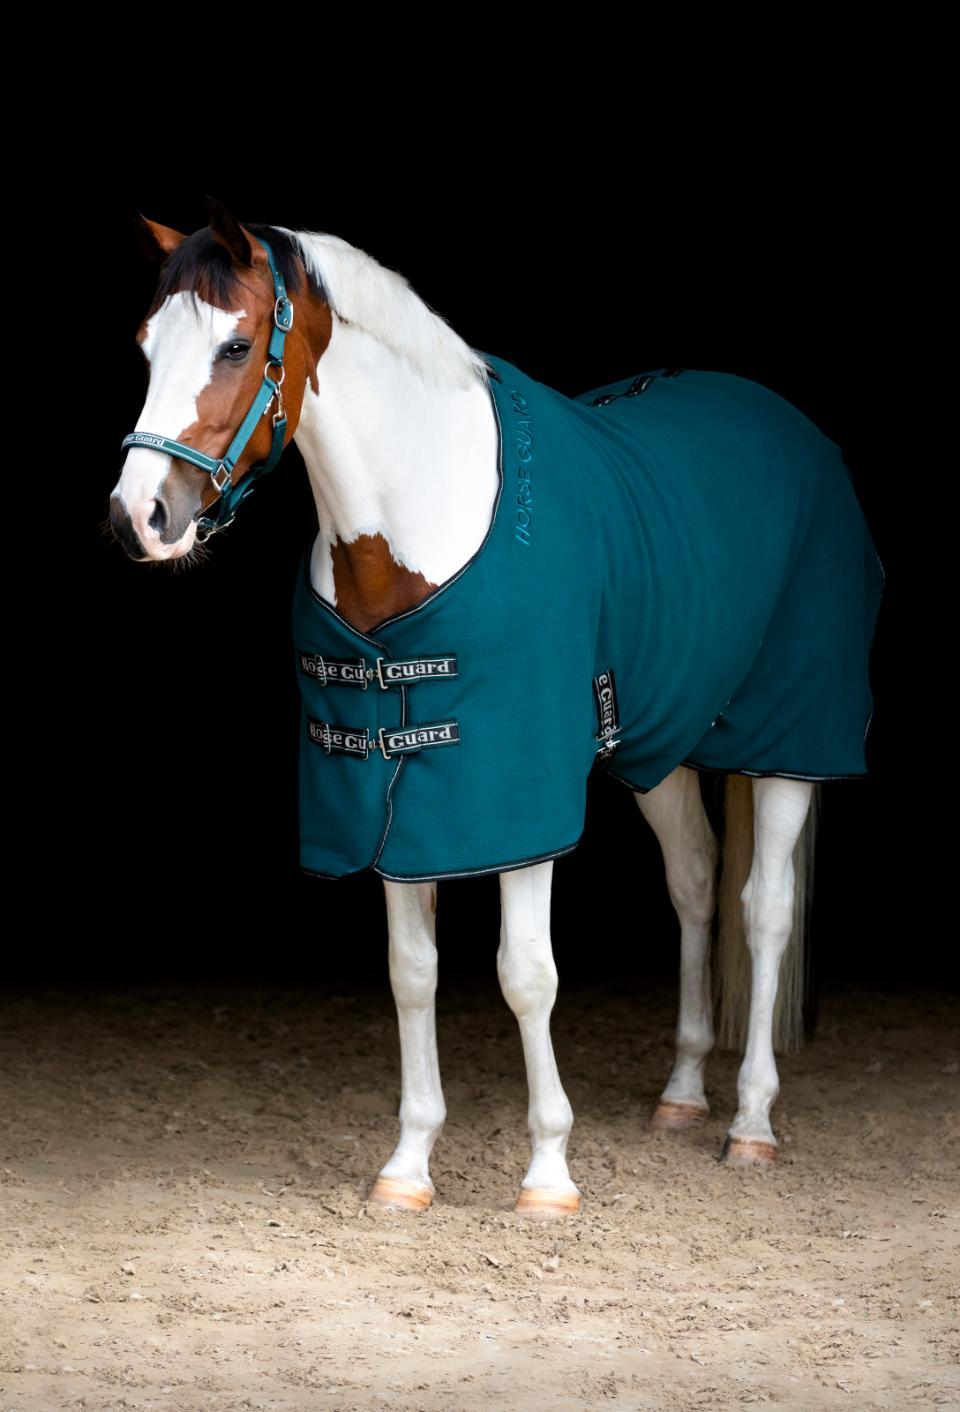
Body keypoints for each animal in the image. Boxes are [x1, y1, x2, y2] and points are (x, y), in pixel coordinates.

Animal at [110, 197, 883, 1220]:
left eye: (236, 346)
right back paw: (682, 1093)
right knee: (694, 884)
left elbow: (527, 976)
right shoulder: (393, 797)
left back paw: (751, 1122)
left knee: (766, 910)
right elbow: (413, 974)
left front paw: (549, 1172)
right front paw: (407, 1166)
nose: (139, 518)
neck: (421, 525)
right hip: (661, 745)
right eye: (147, 345)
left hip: (792, 738)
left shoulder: (515, 801)